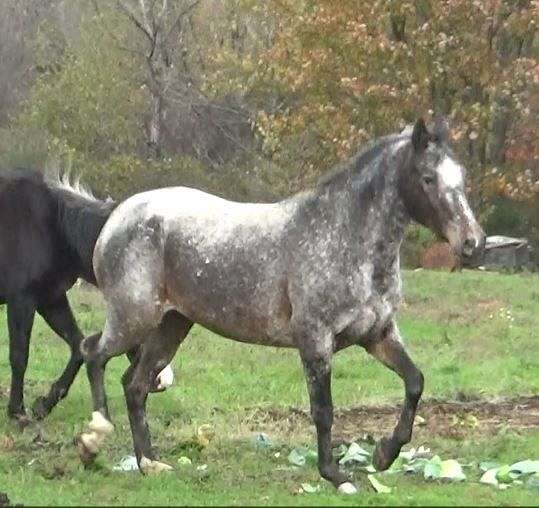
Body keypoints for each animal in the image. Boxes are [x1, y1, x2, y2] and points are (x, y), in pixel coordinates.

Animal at [0, 170, 173, 420]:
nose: (162, 381)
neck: (53, 227)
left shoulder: (50, 299)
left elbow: (78, 346)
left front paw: (44, 404)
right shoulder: (22, 301)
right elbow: (19, 355)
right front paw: (17, 412)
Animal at [76, 118, 486, 492]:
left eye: (461, 177)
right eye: (428, 178)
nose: (472, 242)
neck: (345, 239)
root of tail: (116, 218)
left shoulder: (378, 335)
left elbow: (415, 382)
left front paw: (384, 454)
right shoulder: (315, 340)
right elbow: (323, 410)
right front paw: (336, 475)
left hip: (171, 326)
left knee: (135, 385)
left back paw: (150, 464)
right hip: (134, 318)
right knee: (93, 353)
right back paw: (93, 440)